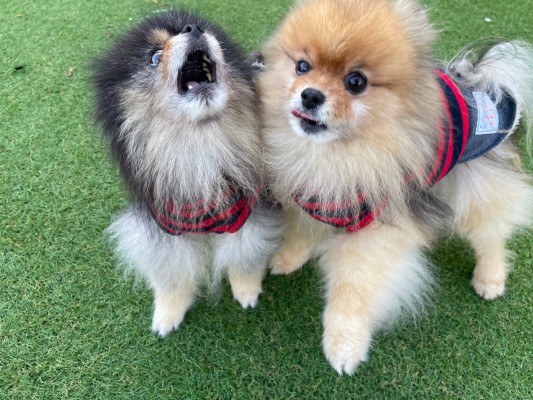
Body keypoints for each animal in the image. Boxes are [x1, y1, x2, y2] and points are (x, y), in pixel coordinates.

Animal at [92, 10, 281, 337]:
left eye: (200, 29)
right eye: (154, 57)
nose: (194, 30)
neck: (198, 148)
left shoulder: (247, 210)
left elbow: (244, 257)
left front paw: (246, 290)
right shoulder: (163, 227)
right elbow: (172, 275)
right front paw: (168, 313)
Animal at [259, 0, 533, 374]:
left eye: (356, 82)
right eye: (302, 66)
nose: (310, 94)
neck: (338, 155)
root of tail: (485, 80)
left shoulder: (376, 230)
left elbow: (353, 287)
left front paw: (344, 345)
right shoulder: (311, 194)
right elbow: (301, 231)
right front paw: (289, 258)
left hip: (477, 183)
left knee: (490, 233)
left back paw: (490, 278)